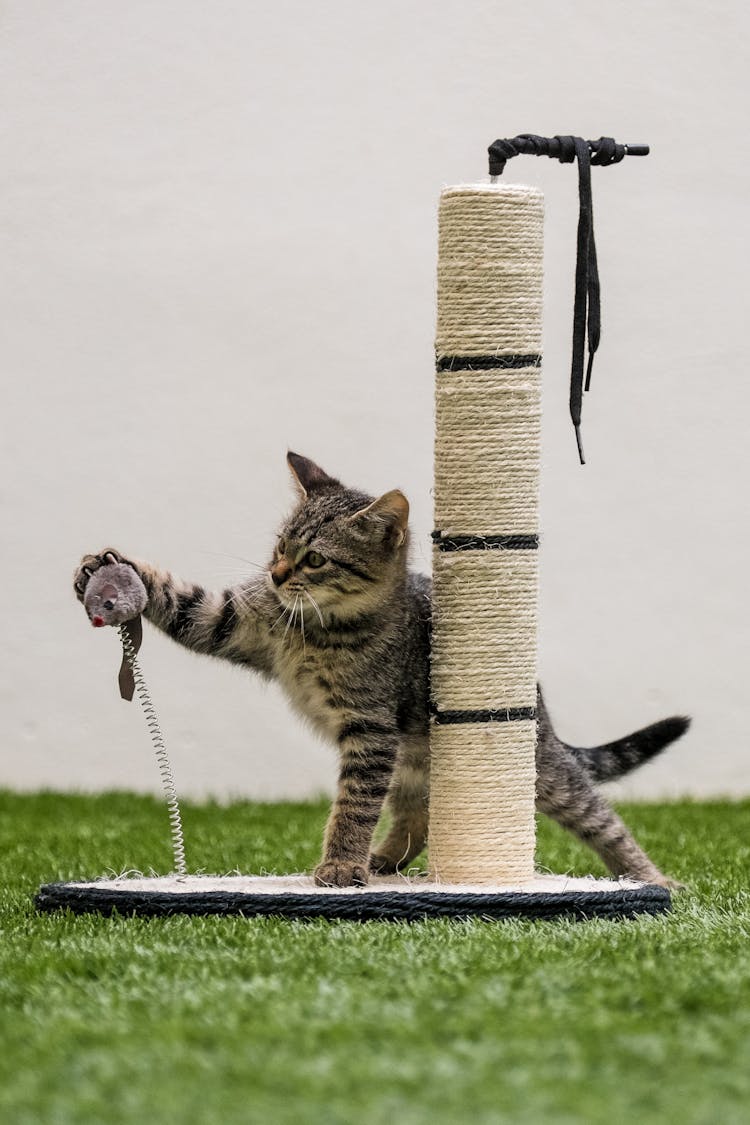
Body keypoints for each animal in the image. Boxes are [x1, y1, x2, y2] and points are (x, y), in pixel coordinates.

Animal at [73, 450, 688, 886]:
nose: (275, 575)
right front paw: (109, 570)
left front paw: (341, 865)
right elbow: (185, 602)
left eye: (315, 558)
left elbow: (353, 804)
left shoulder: (370, 729)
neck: (316, 629)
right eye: (279, 546)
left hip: (537, 771)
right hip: (412, 761)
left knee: (600, 818)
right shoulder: (231, 623)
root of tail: (544, 713)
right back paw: (388, 858)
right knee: (417, 816)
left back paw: (654, 880)